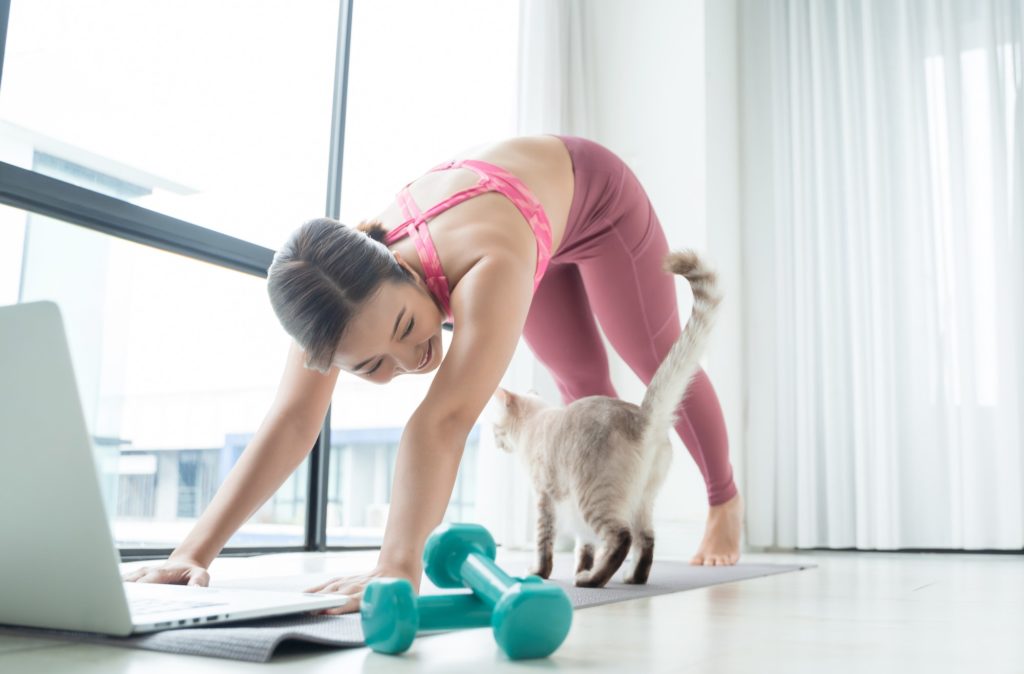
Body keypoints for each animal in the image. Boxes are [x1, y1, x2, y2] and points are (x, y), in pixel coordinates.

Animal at [487, 248, 720, 585]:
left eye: (494, 427)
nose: (494, 441)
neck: (534, 422)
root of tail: (642, 418)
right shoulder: (570, 513)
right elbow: (584, 546)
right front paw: (580, 565)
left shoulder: (545, 497)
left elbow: (544, 543)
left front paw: (541, 574)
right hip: (640, 501)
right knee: (646, 539)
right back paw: (631, 578)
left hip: (593, 498)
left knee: (622, 537)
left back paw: (591, 580)